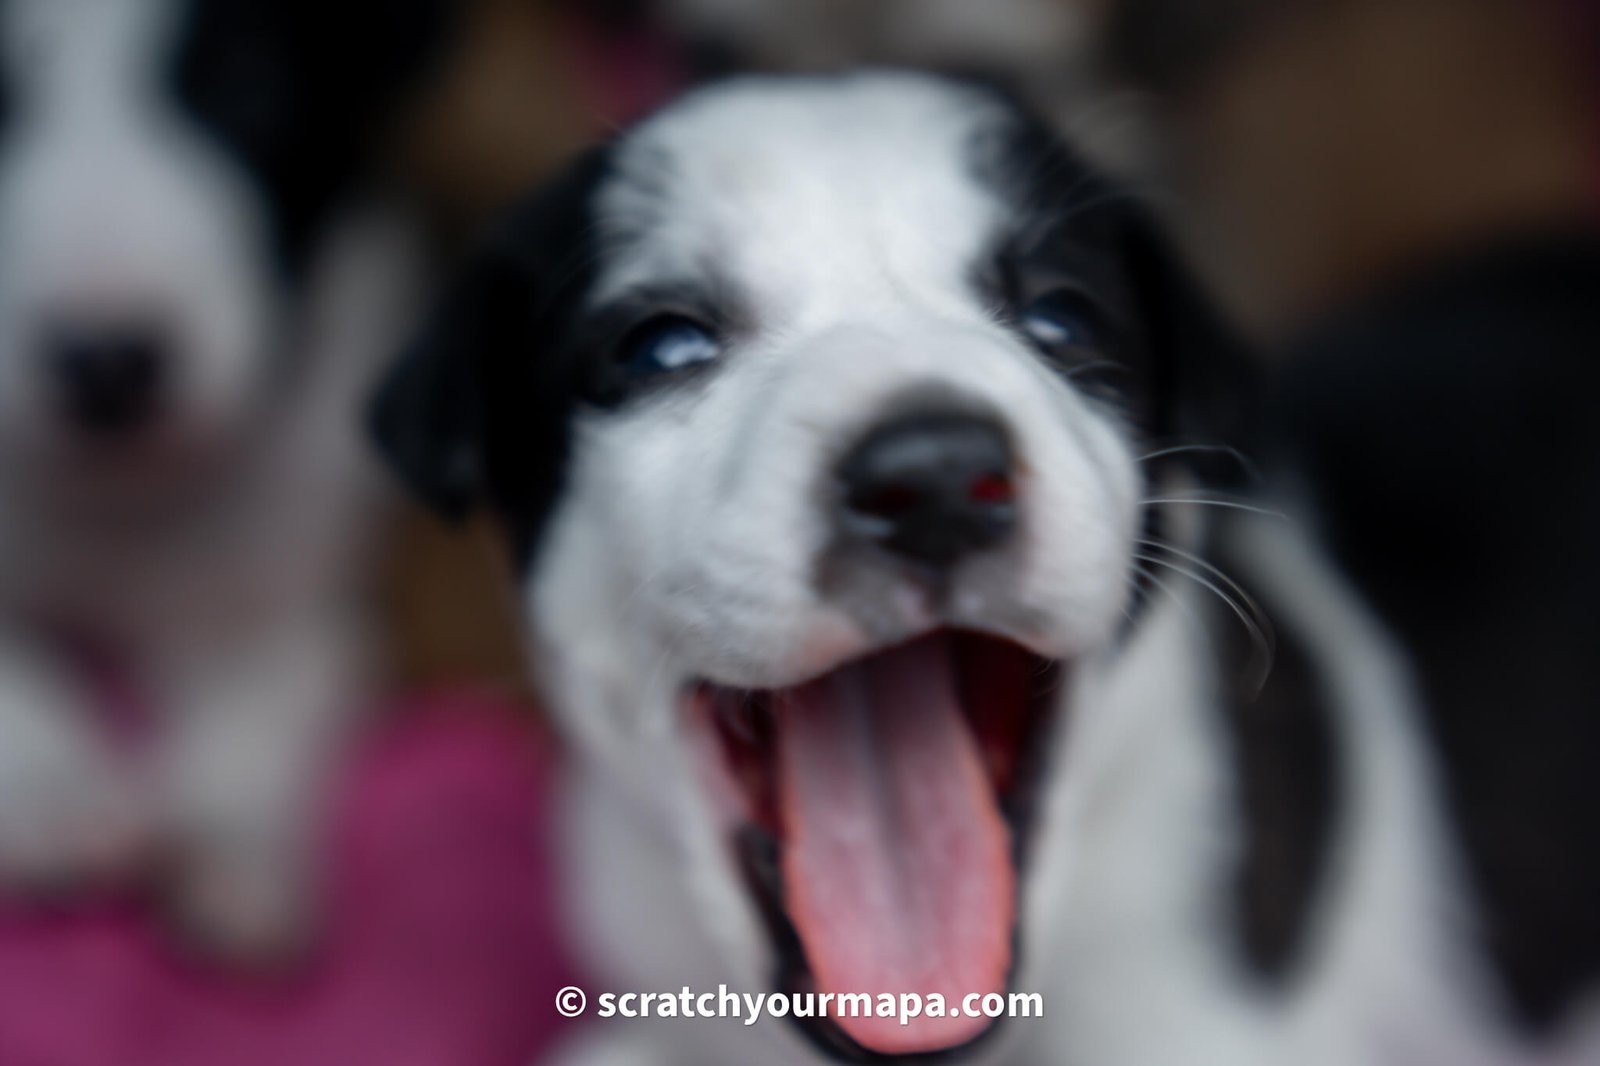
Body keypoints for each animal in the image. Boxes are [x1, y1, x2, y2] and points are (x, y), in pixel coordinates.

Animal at [0, 0, 451, 953]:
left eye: (250, 88)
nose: (106, 360)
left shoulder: (296, 581)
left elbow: (255, 711)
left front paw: (230, 845)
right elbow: (17, 663)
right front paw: (53, 793)